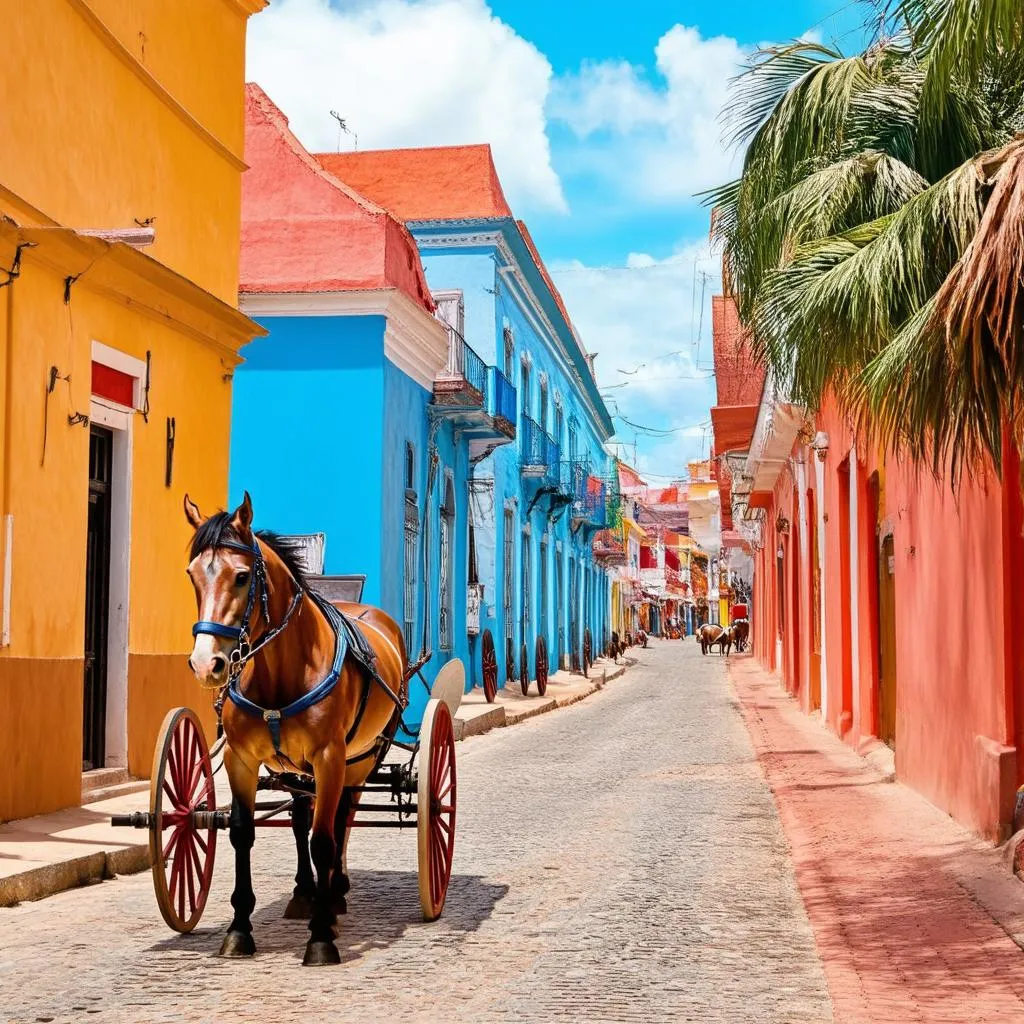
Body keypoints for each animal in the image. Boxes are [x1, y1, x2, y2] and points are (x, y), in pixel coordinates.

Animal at [184, 491, 407, 962]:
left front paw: (321, 936)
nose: (206, 663)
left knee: (341, 817)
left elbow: (325, 839)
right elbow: (243, 833)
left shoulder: (329, 756)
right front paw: (239, 928)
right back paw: (307, 892)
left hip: (362, 756)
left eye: (242, 577)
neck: (282, 670)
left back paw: (333, 894)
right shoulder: (241, 759)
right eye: (193, 575)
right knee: (304, 816)